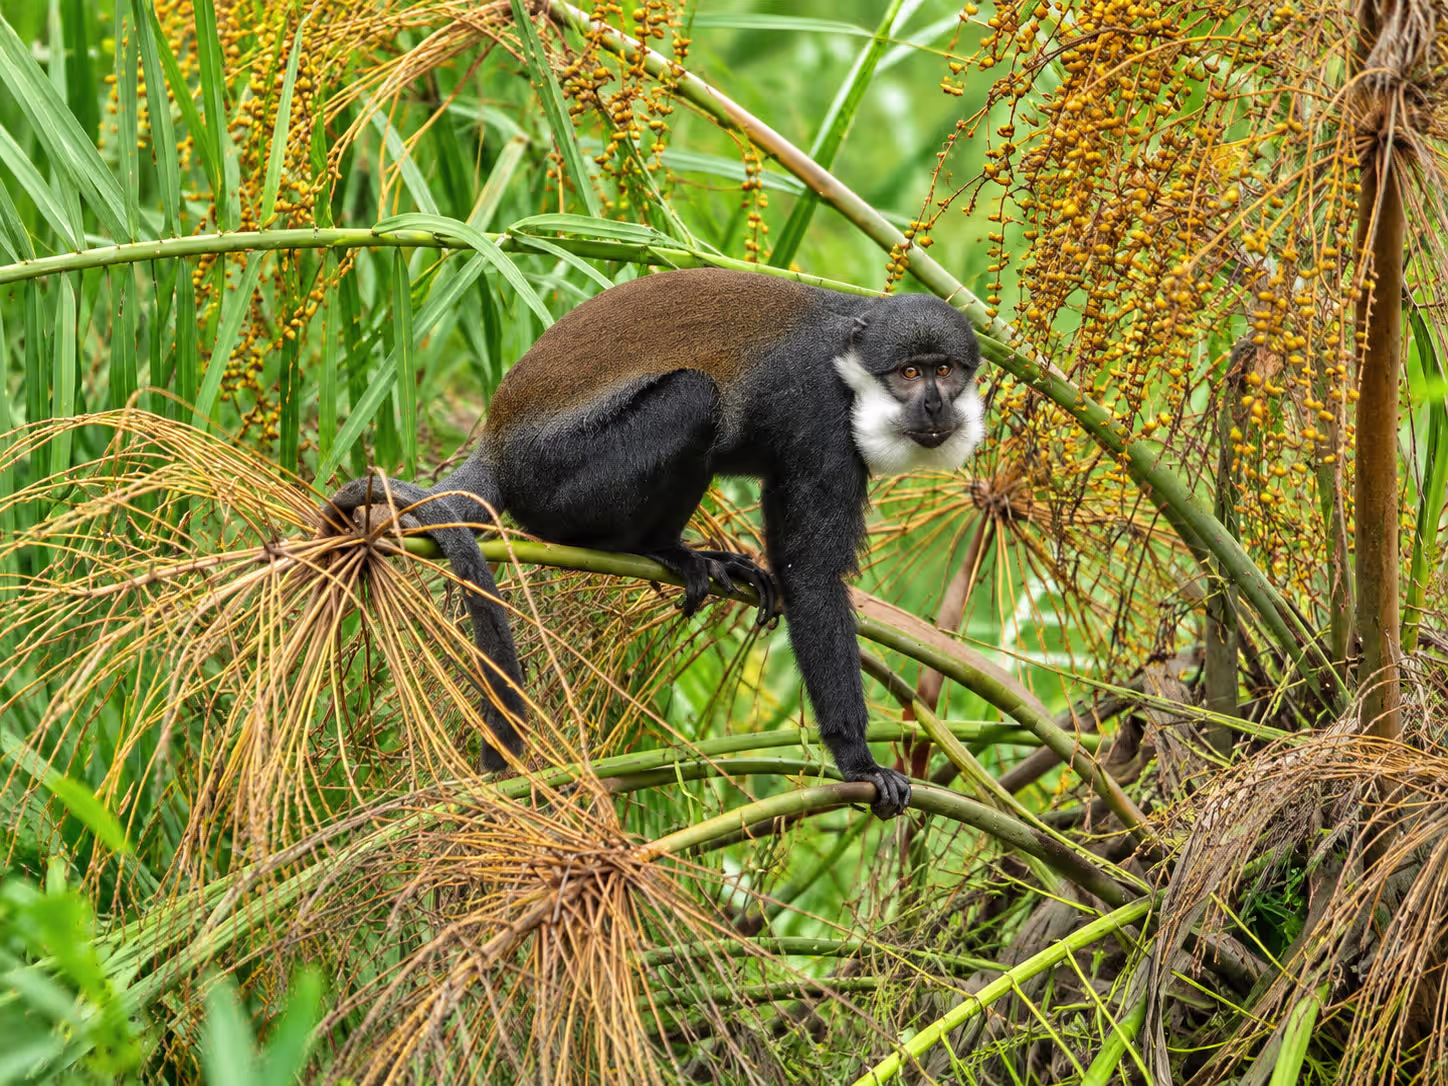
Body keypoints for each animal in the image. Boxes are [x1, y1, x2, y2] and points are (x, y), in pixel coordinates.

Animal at [319, 268, 984, 819]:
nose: (934, 404)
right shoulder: (818, 415)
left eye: (945, 370)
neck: (850, 364)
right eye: (908, 373)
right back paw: (639, 546)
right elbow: (812, 575)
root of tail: (498, 449)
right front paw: (859, 761)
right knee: (691, 397)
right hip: (563, 479)